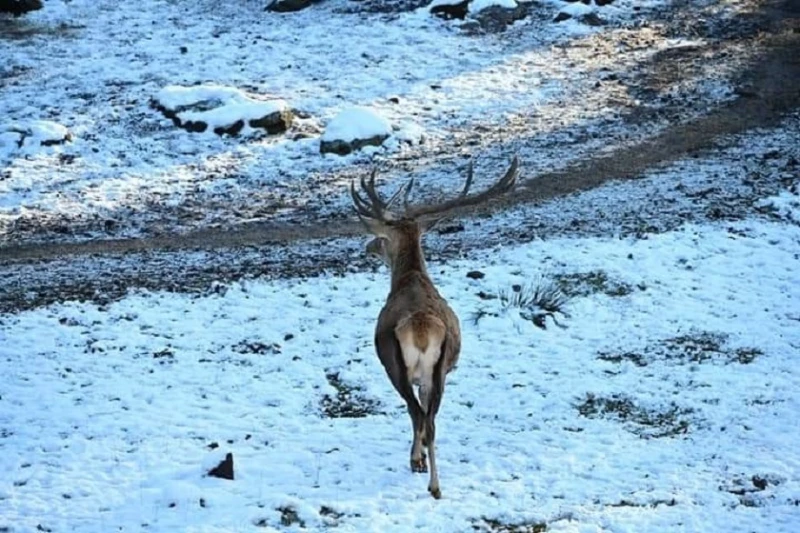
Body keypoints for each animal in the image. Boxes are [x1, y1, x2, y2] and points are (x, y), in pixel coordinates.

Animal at [350, 155, 520, 498]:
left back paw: (424, 473)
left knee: (417, 414)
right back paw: (436, 484)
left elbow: (414, 414)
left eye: (383, 239)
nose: (368, 246)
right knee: (431, 420)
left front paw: (416, 459)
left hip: (394, 365)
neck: (410, 278)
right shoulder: (431, 377)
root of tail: (420, 328)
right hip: (441, 368)